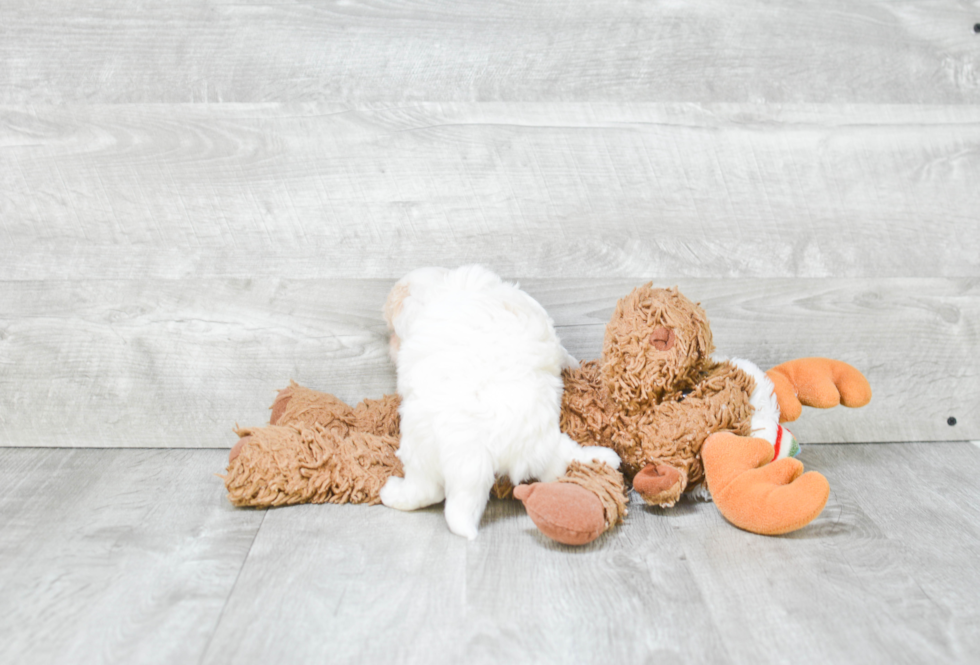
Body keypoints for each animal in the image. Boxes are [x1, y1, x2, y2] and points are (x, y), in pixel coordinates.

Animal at [378, 264, 616, 540]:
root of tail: (482, 455)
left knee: (426, 491)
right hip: (546, 448)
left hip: (420, 446)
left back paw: (392, 493)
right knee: (559, 462)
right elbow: (564, 353)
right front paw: (575, 365)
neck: (443, 286)